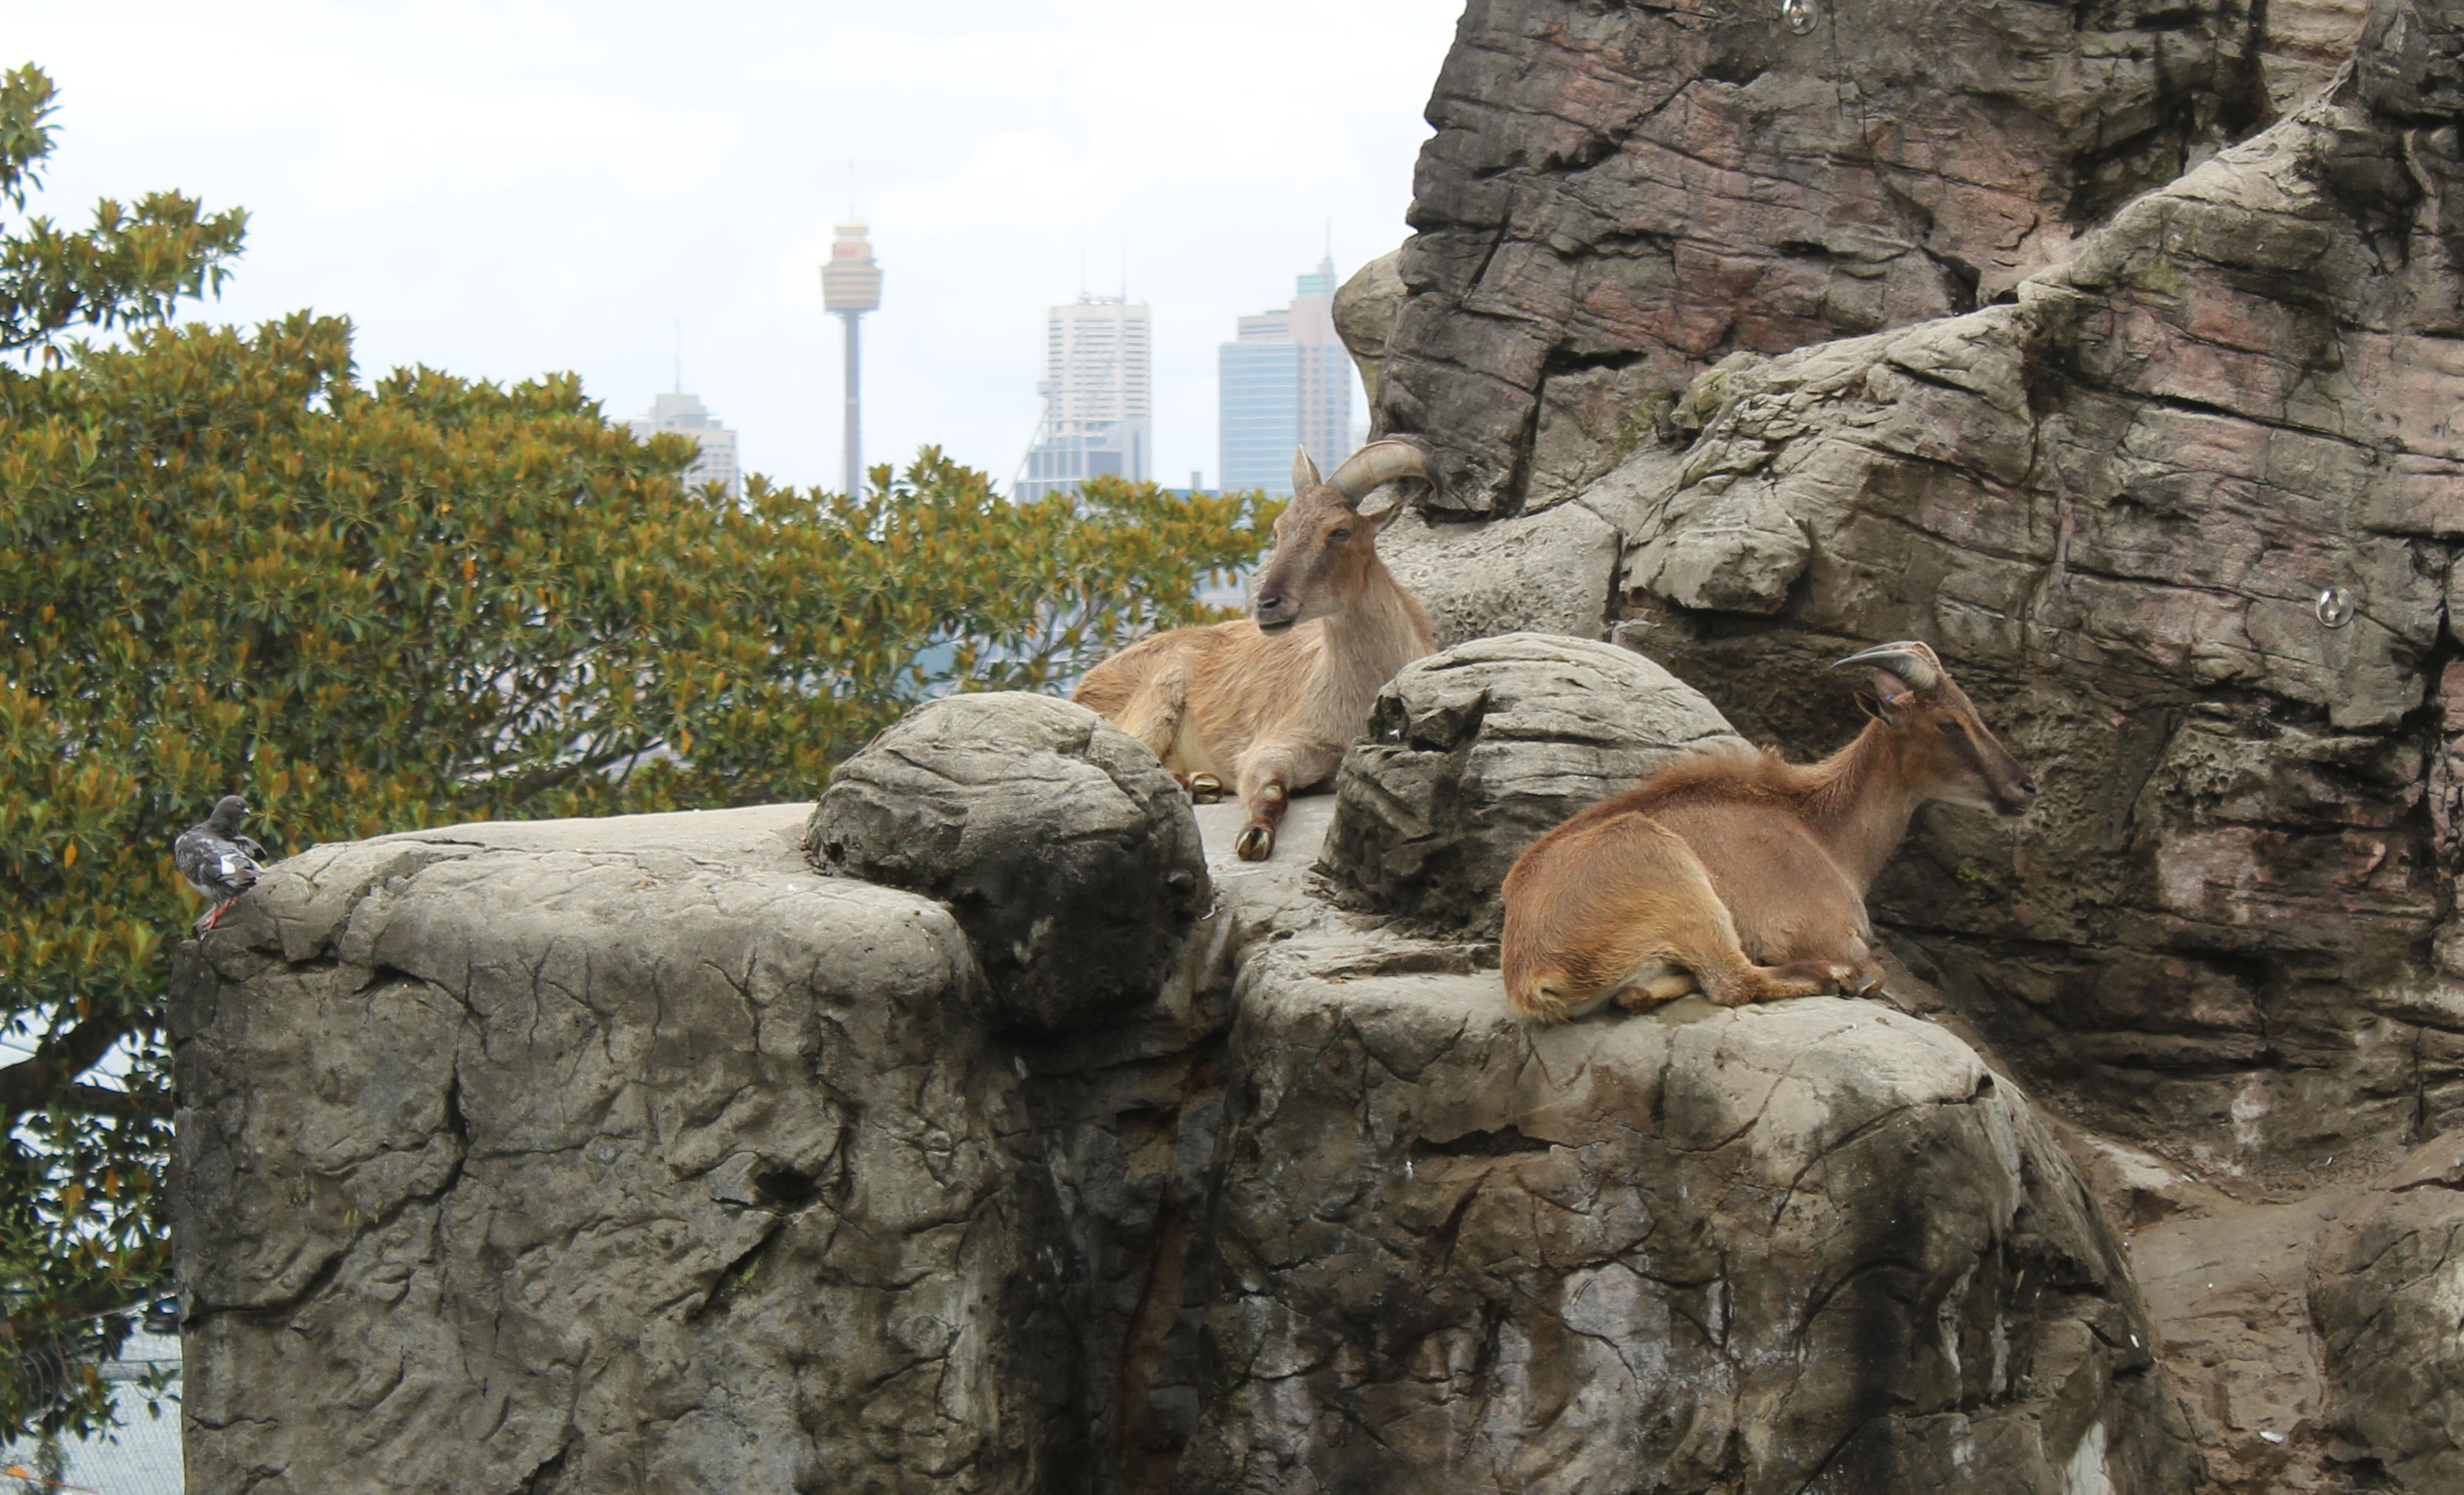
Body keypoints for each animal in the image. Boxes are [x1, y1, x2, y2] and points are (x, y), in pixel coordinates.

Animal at [1069, 438, 1439, 861]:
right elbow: (1270, 789)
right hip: (1160, 692)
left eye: (1339, 531)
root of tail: (1083, 690)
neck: (1353, 689)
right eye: (1279, 531)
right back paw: (1197, 784)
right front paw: (1255, 835)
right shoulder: (1274, 744)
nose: (1267, 604)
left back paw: (1202, 783)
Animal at [1498, 635, 2040, 1024]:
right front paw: (1855, 975)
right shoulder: (1823, 932)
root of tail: (1531, 971)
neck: (1821, 829)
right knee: (1734, 982)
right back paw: (1837, 977)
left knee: (1645, 993)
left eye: (1973, 711)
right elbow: (1876, 968)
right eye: (1948, 723)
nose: (2024, 786)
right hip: (1679, 883)